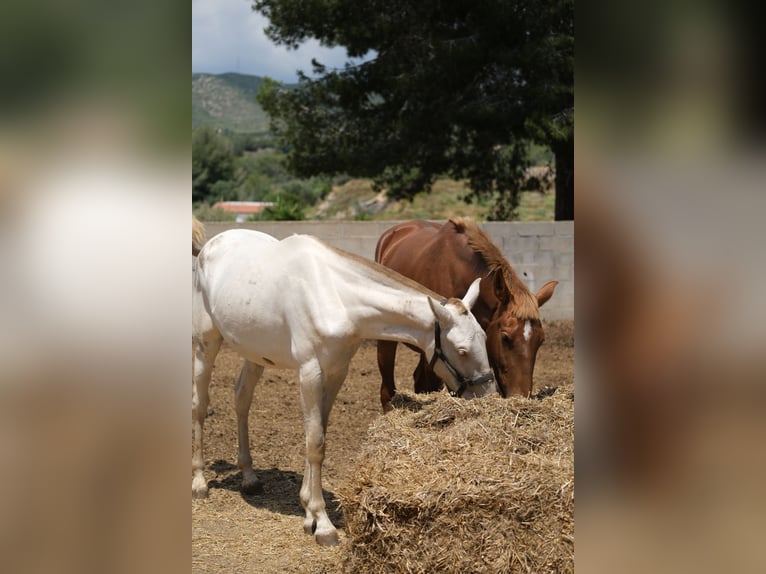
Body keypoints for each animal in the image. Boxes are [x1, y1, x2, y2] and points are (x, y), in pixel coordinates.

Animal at [194, 223, 498, 548]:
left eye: (484, 337)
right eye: (462, 351)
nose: (488, 396)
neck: (336, 295)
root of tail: (210, 245)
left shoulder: (336, 371)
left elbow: (319, 434)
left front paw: (308, 513)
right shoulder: (309, 372)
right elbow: (315, 442)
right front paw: (323, 523)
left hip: (254, 353)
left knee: (242, 399)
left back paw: (249, 477)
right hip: (206, 343)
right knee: (199, 405)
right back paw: (199, 481)